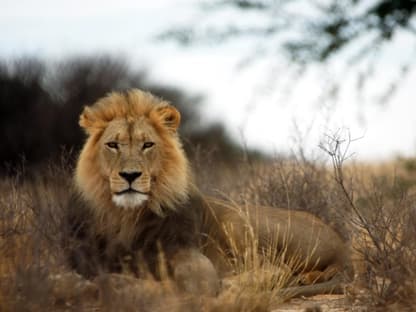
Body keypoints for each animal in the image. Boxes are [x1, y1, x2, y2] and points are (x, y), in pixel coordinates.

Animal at [66, 88, 352, 298]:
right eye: (112, 145)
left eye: (148, 145)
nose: (130, 175)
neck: (128, 216)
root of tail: (341, 245)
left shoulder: (195, 264)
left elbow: (182, 286)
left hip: (235, 221)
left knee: (277, 267)